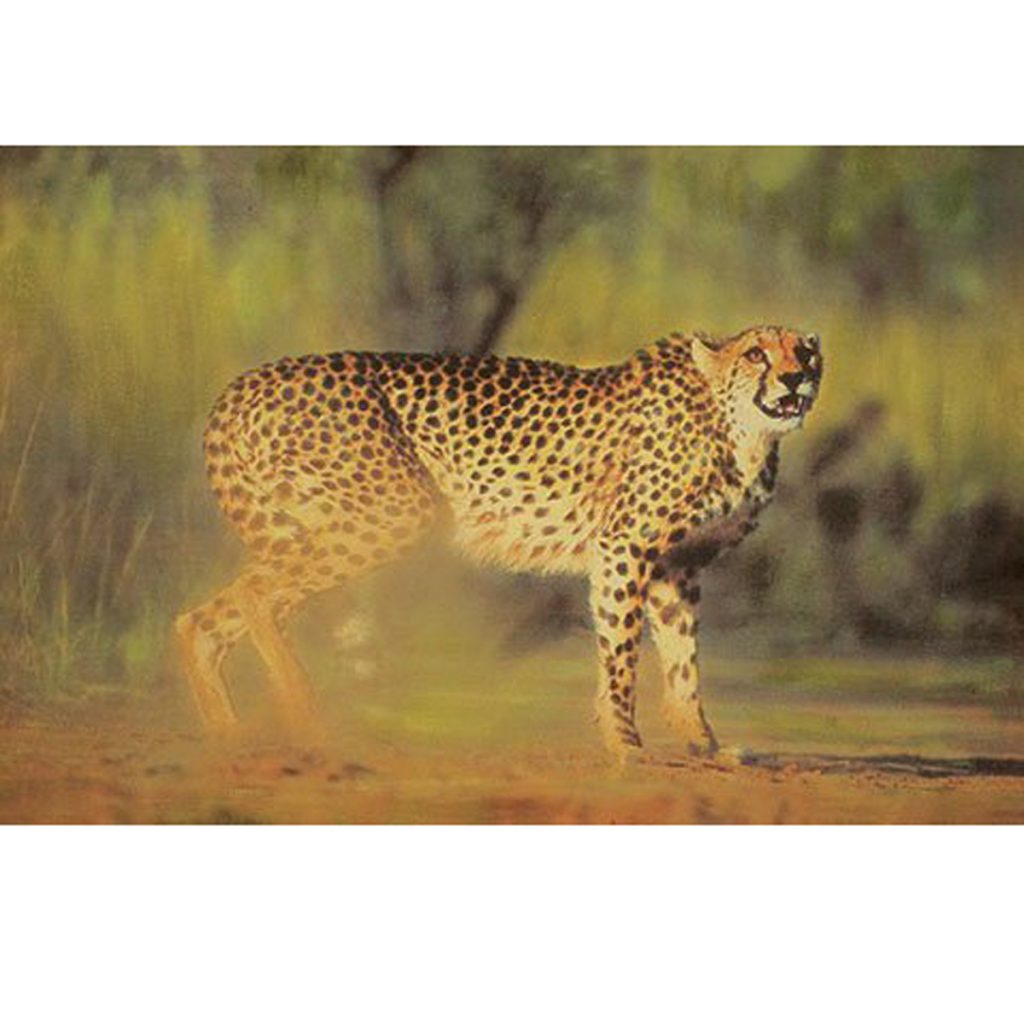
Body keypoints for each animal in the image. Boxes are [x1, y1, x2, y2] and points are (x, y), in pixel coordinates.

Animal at [176, 325, 823, 763]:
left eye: (806, 352)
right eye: (757, 353)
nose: (796, 377)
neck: (742, 432)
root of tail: (244, 383)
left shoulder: (676, 566)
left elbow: (684, 660)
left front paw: (704, 745)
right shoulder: (624, 545)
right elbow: (621, 654)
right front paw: (624, 742)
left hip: (318, 524)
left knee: (203, 618)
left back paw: (227, 734)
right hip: (394, 514)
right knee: (253, 596)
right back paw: (304, 716)